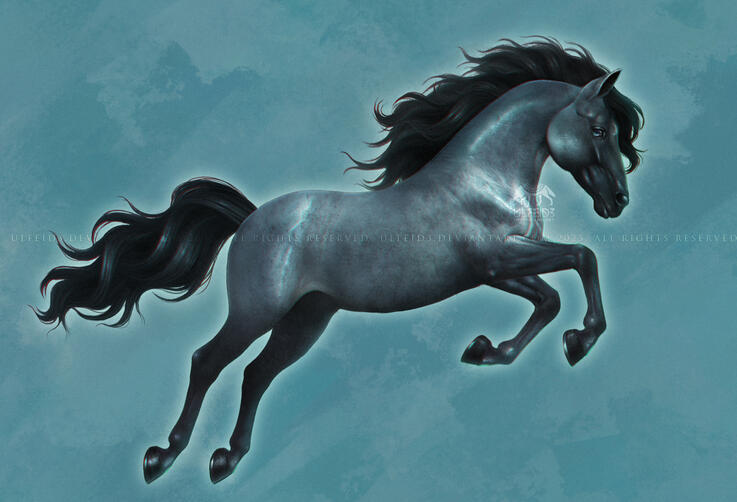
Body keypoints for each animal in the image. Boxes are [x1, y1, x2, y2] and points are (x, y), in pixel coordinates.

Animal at [34, 38, 644, 484]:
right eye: (598, 128)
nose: (617, 202)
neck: (483, 178)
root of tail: (251, 219)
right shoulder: (498, 259)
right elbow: (582, 258)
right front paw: (580, 340)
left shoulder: (494, 271)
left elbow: (550, 296)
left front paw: (489, 350)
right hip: (256, 311)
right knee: (208, 361)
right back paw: (162, 458)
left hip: (307, 319)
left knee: (256, 374)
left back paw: (227, 459)